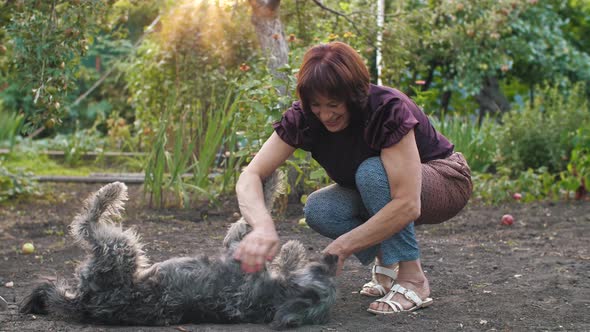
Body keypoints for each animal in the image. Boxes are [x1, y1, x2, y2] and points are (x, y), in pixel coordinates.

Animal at [20, 174, 338, 330]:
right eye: (324, 271)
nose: (333, 258)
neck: (274, 296)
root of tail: (86, 304)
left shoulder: (236, 246)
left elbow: (251, 215)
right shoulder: (236, 246)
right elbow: (254, 209)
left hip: (120, 249)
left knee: (86, 223)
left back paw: (111, 191)